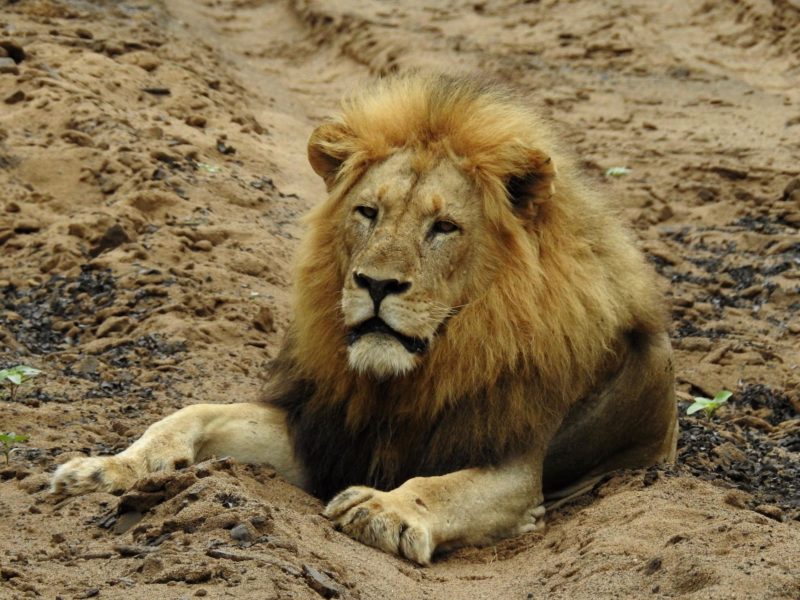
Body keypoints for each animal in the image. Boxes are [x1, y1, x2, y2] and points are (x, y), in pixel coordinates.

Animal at [51, 72, 676, 564]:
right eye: (368, 212)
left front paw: (384, 509)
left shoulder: (513, 465)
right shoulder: (320, 432)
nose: (376, 284)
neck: (403, 380)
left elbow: (443, 487)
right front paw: (107, 468)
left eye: (443, 227)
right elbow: (192, 412)